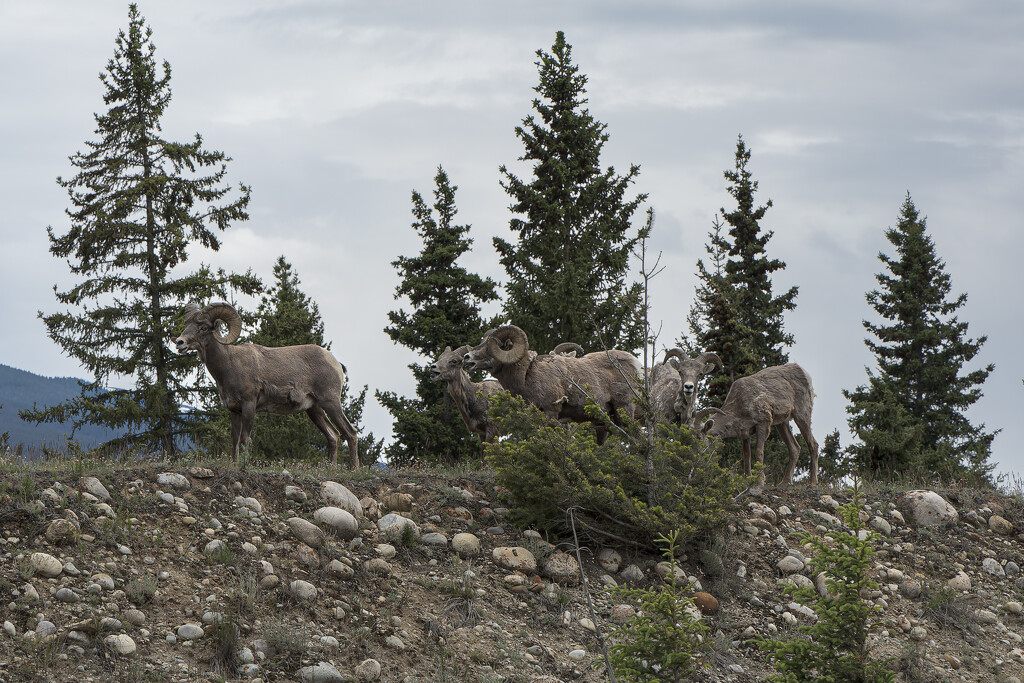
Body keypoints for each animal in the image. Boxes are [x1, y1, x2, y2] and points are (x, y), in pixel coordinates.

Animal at [176, 305, 364, 471]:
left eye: (203, 327)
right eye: (187, 325)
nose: (179, 342)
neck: (229, 364)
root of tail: (336, 363)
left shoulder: (249, 405)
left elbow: (245, 439)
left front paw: (244, 465)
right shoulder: (234, 410)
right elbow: (234, 440)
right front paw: (235, 465)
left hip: (330, 403)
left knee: (350, 433)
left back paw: (354, 469)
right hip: (315, 410)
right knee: (333, 436)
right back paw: (331, 468)